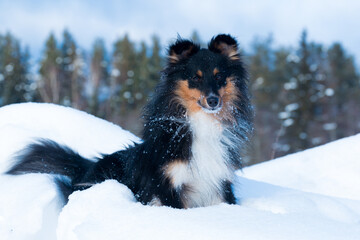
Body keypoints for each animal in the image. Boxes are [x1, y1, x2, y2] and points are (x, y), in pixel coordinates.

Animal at [6, 33, 253, 208]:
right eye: (195, 78)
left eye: (219, 77)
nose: (213, 100)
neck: (201, 123)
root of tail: (87, 166)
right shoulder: (167, 187)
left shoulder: (219, 185)